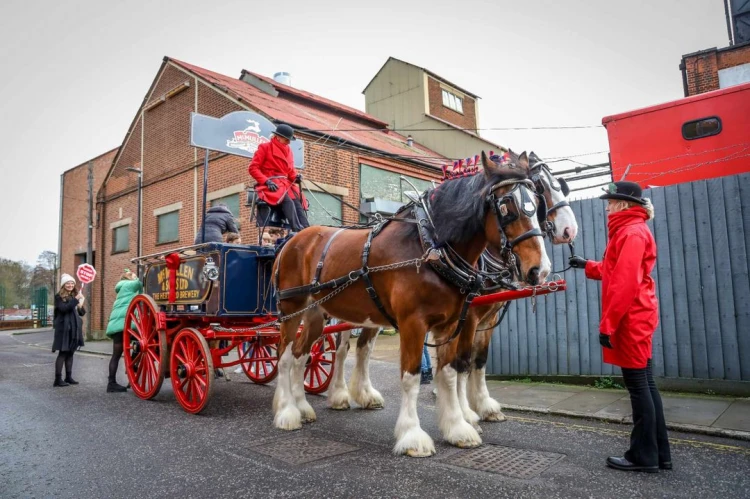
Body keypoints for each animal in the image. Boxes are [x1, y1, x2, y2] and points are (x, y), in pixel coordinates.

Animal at [274, 151, 548, 458]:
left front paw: (458, 427)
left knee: (302, 356)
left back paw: (303, 407)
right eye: (505, 206)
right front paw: (413, 435)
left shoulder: (452, 324)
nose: (540, 269)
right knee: (286, 357)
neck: (429, 248)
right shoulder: (414, 324)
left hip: (316, 314)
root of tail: (293, 240)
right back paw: (287, 413)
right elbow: (412, 376)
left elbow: (451, 372)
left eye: (537, 203)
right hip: (292, 310)